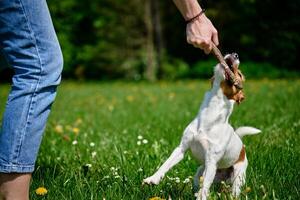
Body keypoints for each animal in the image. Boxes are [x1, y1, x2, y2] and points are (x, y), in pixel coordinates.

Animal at [142, 52, 260, 199]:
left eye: (239, 74)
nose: (235, 54)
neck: (209, 116)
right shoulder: (181, 148)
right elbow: (166, 163)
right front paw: (153, 178)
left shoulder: (211, 161)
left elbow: (205, 186)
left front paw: (201, 197)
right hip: (200, 173)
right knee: (199, 182)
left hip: (237, 177)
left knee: (230, 189)